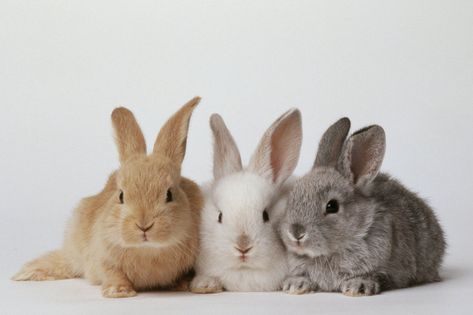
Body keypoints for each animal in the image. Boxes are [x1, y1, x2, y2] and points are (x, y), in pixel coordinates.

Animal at [12, 97, 203, 298]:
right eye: (121, 195)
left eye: (169, 194)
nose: (144, 225)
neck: (148, 250)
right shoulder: (103, 256)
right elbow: (112, 272)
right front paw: (118, 291)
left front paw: (182, 285)